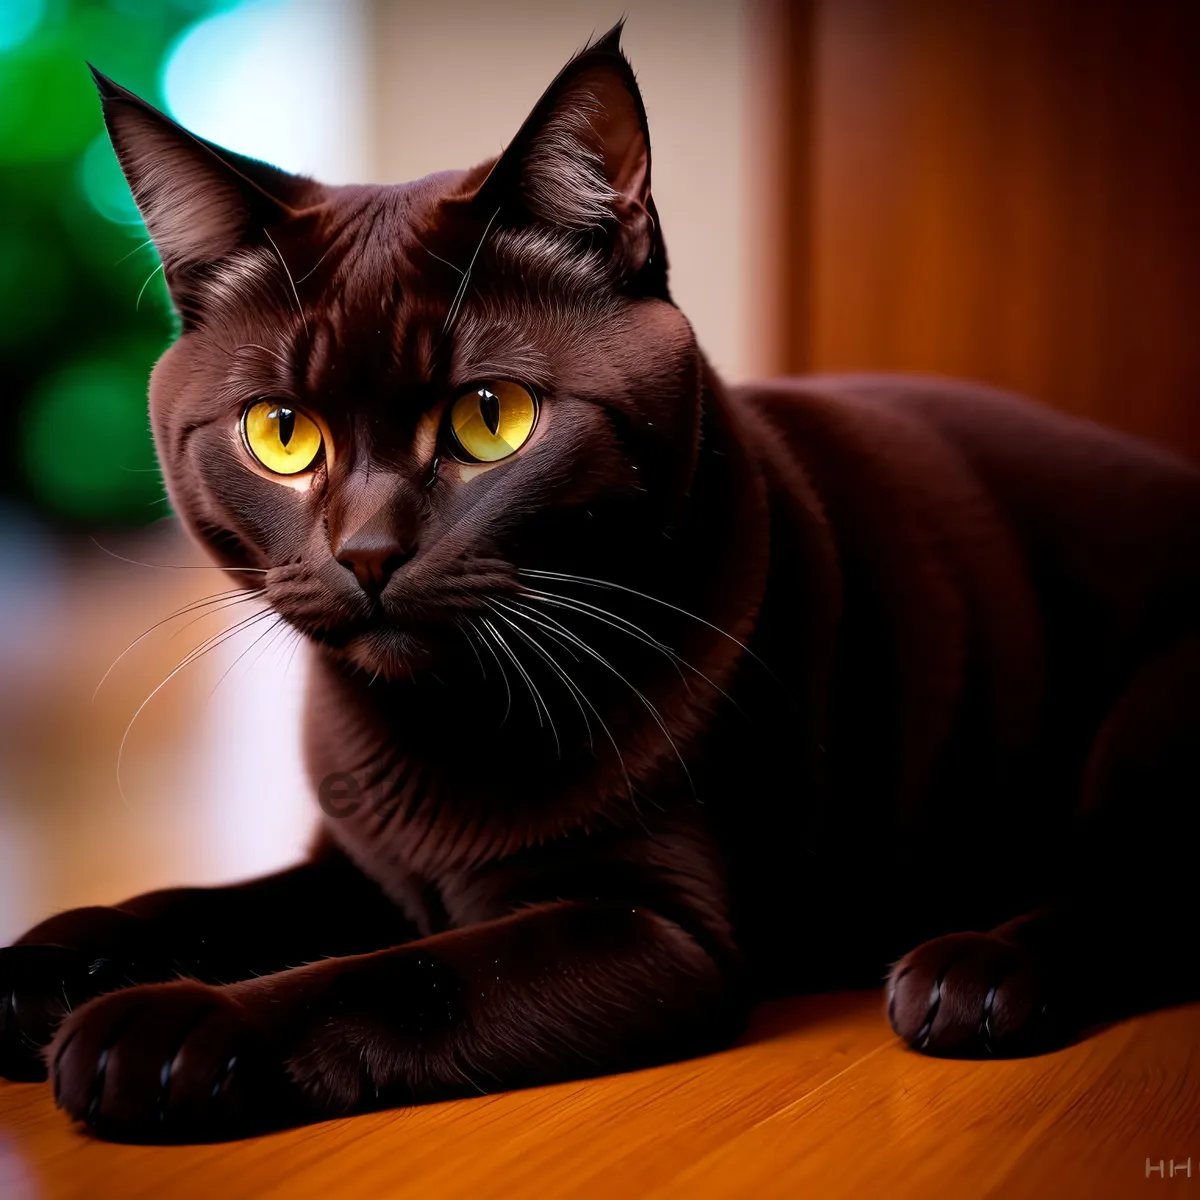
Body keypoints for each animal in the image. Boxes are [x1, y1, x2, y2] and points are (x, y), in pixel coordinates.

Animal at [2, 23, 1200, 1137]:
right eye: (281, 434)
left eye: (492, 418)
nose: (370, 552)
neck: (440, 728)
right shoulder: (356, 864)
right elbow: (200, 903)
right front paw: (43, 964)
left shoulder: (650, 929)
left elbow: (392, 981)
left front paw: (166, 1028)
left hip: (1151, 715)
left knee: (1148, 893)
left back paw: (976, 978)